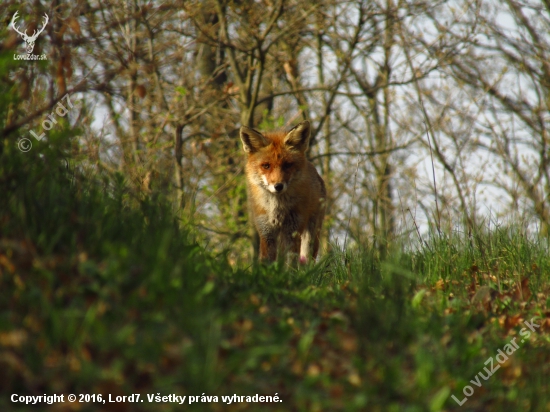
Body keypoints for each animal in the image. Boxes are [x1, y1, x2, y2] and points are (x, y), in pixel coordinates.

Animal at [239, 120, 326, 262]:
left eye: (287, 165)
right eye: (266, 166)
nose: (278, 186)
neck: (277, 208)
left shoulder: (292, 231)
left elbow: (291, 264)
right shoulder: (266, 232)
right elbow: (266, 262)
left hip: (310, 236)